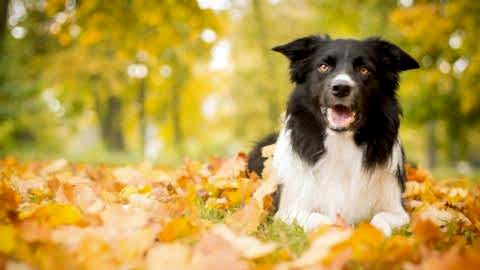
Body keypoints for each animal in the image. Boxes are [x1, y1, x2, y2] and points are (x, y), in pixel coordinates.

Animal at [248, 34, 420, 235]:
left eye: (364, 70)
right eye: (324, 67)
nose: (341, 88)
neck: (341, 143)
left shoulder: (397, 209)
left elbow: (381, 219)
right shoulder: (287, 212)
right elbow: (320, 219)